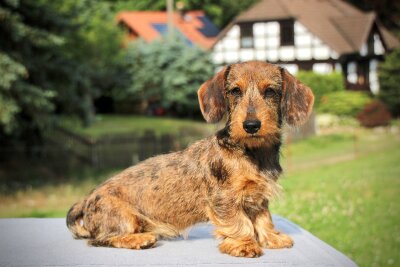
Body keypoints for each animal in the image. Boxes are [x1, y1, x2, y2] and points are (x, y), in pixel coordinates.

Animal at [67, 60, 314, 258]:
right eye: (235, 91)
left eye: (270, 91)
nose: (251, 125)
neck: (251, 151)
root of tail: (86, 199)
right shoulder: (224, 198)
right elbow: (239, 222)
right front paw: (244, 244)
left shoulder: (258, 196)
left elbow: (264, 219)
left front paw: (272, 237)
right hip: (124, 217)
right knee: (99, 239)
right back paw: (138, 239)